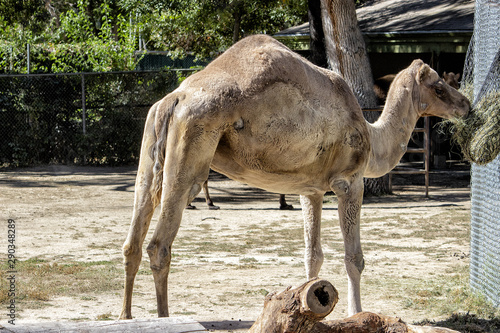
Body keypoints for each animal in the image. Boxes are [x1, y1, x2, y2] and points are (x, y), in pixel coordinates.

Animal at [120, 34, 468, 320]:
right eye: (439, 86)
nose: (464, 103)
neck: (372, 135)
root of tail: (174, 98)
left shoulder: (310, 190)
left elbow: (312, 255)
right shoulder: (349, 181)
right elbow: (354, 257)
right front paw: (357, 313)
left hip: (150, 145)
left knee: (133, 238)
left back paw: (125, 316)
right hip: (193, 142)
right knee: (159, 246)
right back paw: (164, 318)